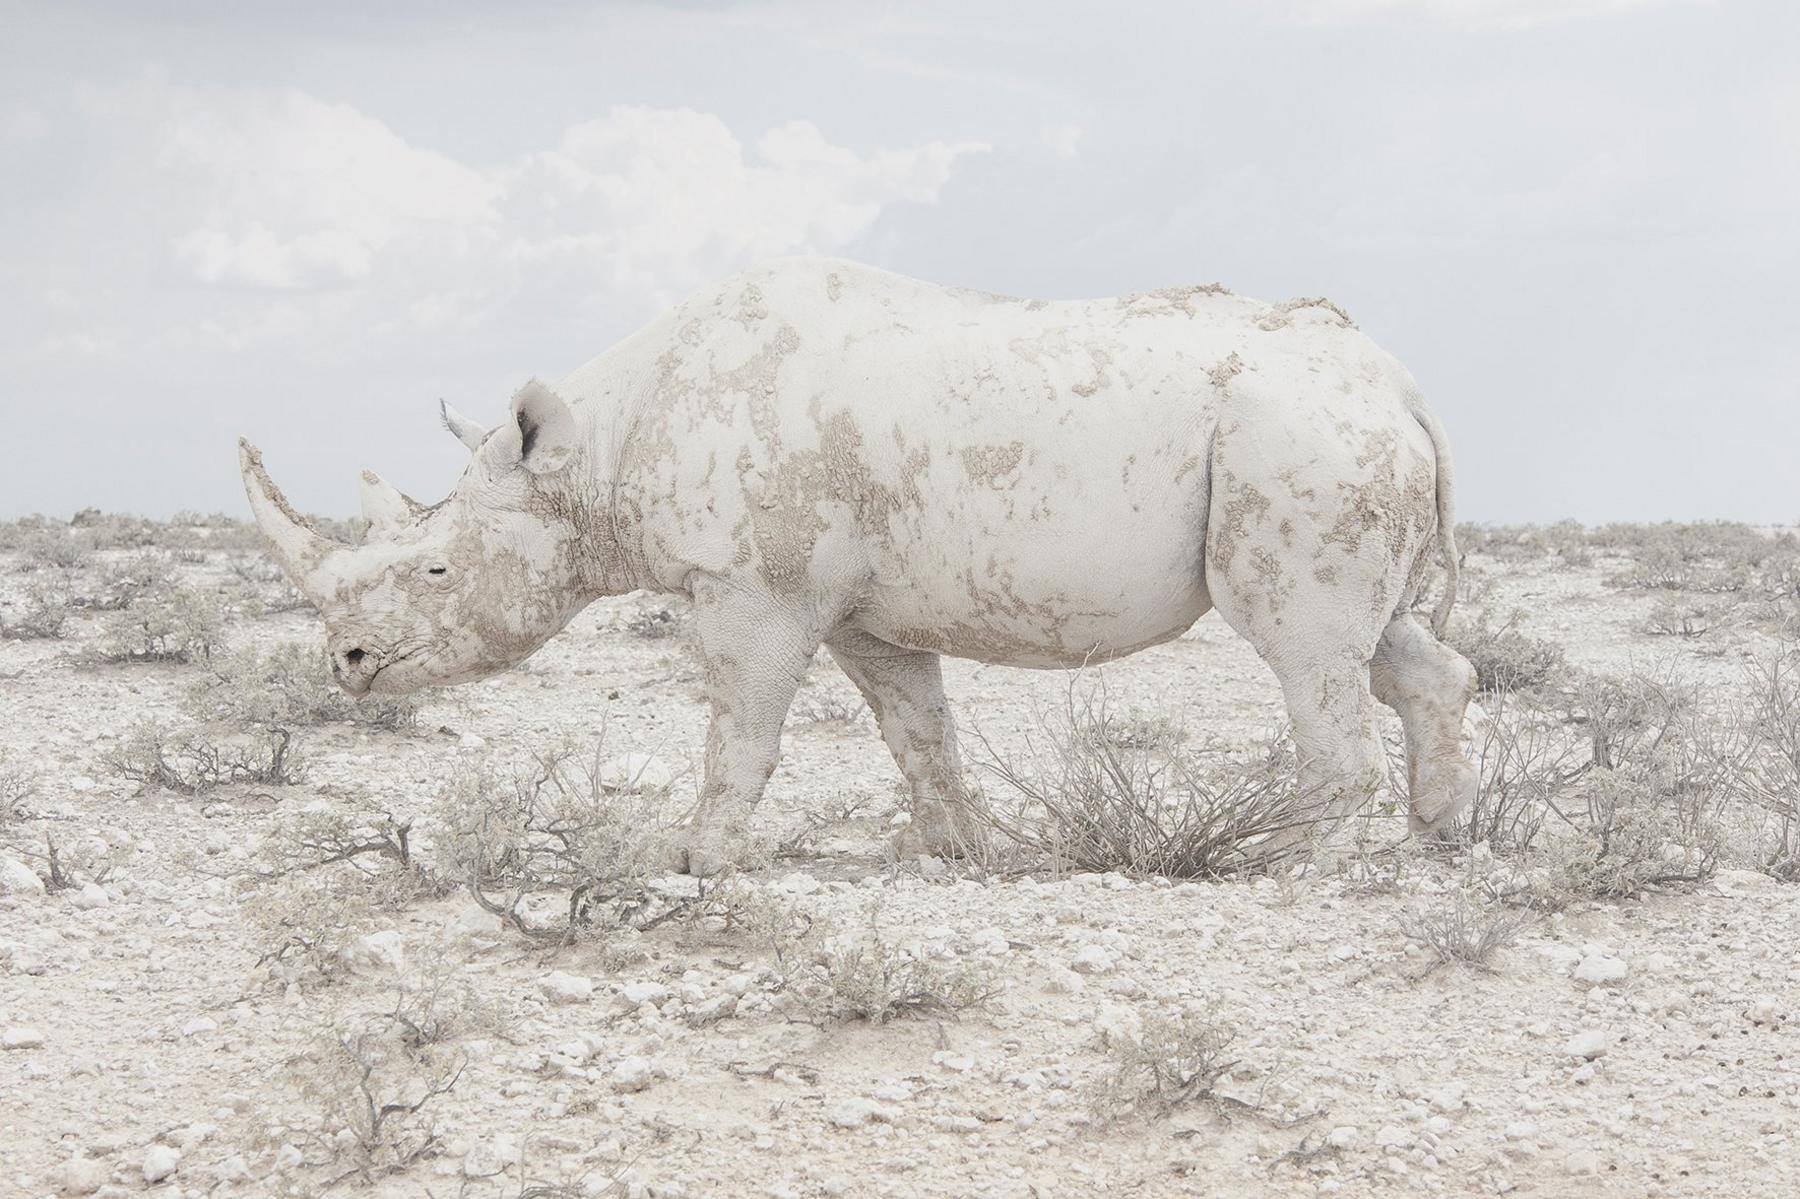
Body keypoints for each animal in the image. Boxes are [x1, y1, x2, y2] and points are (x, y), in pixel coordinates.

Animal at [239, 253, 1476, 867]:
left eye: (435, 572)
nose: (348, 663)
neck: (595, 452)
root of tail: (1399, 380)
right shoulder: (856, 608)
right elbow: (917, 731)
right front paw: (966, 854)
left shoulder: (752, 587)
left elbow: (741, 728)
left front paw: (691, 859)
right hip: (1324, 436)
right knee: (1382, 645)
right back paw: (1432, 839)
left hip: (1298, 439)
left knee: (1302, 645)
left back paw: (1282, 863)